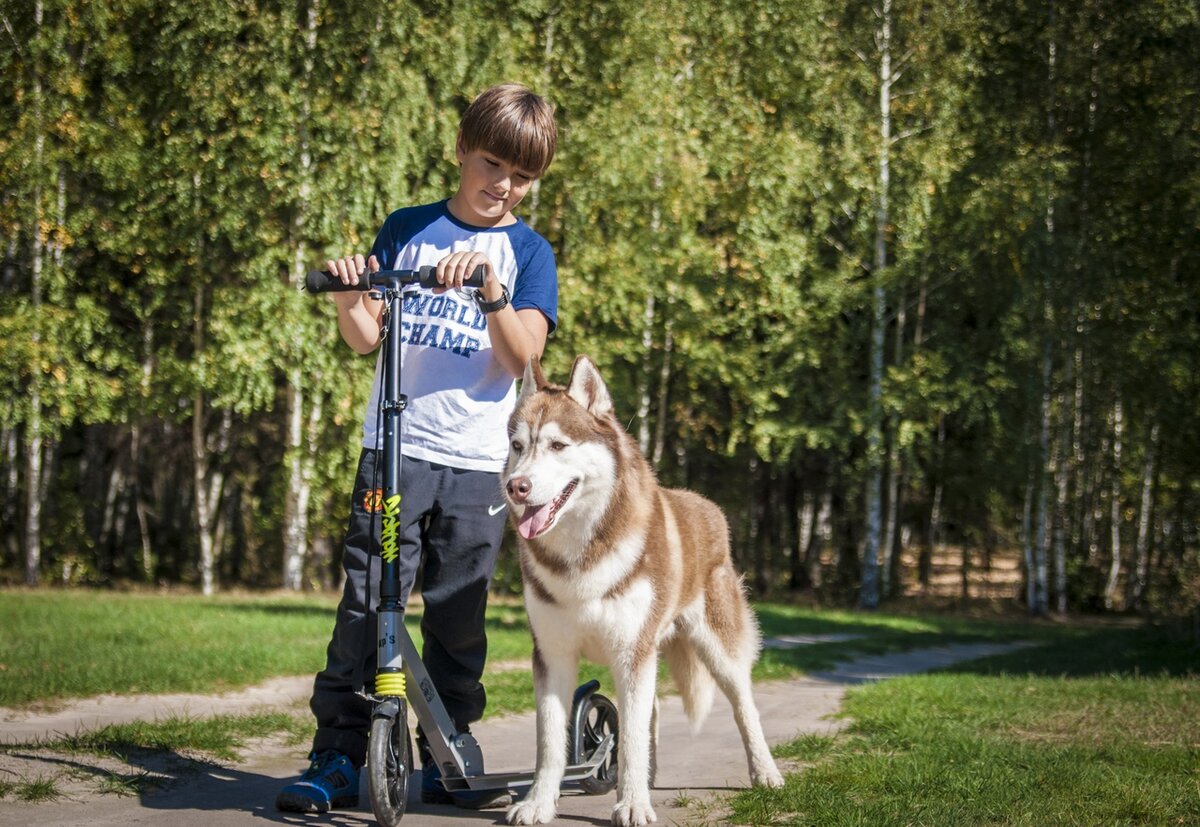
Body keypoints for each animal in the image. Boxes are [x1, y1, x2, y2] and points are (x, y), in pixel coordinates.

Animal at [501, 355, 782, 825]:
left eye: (558, 445)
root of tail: (707, 505)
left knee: (745, 706)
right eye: (518, 446)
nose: (515, 487)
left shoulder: (632, 651)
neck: (581, 556)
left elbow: (629, 738)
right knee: (651, 713)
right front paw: (539, 803)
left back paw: (765, 772)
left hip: (717, 647)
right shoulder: (553, 655)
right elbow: (550, 742)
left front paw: (632, 804)